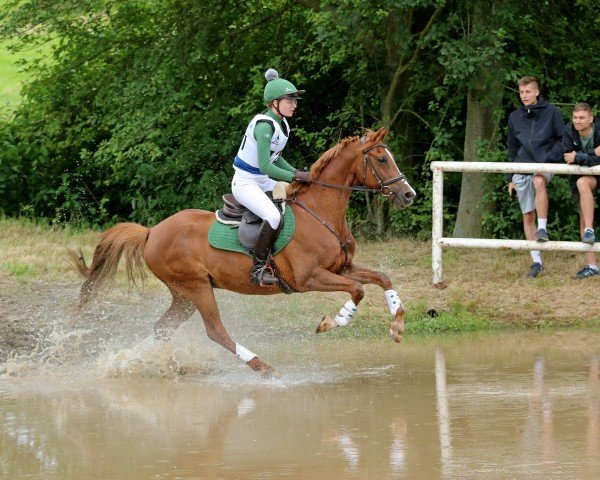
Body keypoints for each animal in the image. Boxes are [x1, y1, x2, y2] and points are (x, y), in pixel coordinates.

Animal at [70, 127, 414, 376]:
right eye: (382, 160)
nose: (409, 195)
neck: (320, 212)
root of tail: (151, 232)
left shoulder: (341, 268)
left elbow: (382, 278)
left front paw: (397, 327)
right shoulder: (309, 278)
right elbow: (357, 290)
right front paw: (331, 323)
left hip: (184, 295)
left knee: (162, 329)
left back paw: (151, 363)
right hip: (196, 288)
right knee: (215, 331)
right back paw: (264, 368)